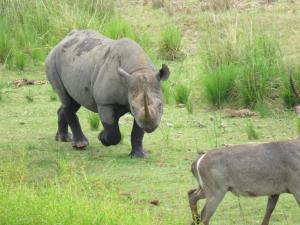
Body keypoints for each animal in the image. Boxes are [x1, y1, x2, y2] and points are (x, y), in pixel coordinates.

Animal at [188, 72, 300, 225]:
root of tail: (198, 160)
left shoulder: (274, 192)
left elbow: (266, 217)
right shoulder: (297, 188)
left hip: (205, 189)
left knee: (191, 195)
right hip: (216, 191)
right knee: (205, 216)